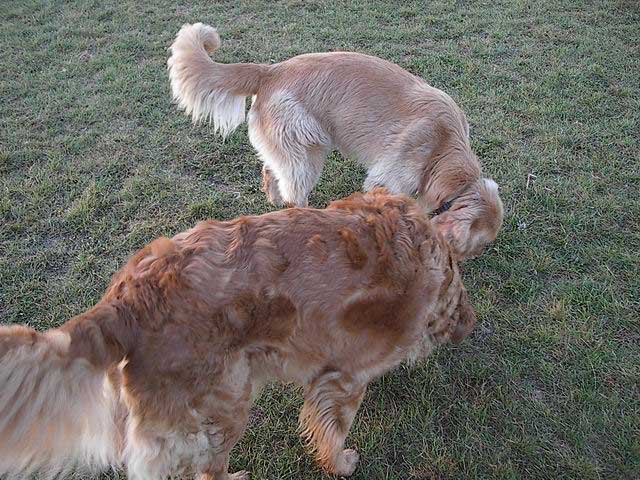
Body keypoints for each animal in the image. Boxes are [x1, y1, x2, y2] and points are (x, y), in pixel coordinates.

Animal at [0, 189, 476, 479]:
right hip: (225, 407)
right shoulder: (345, 378)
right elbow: (333, 431)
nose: (469, 329)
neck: (437, 263)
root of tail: (128, 296)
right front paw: (342, 463)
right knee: (207, 471)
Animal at [167, 23, 504, 260]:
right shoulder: (389, 178)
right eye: (477, 244)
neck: (443, 150)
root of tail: (271, 71)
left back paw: (273, 199)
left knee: (271, 172)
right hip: (308, 152)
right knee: (294, 195)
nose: (467, 260)